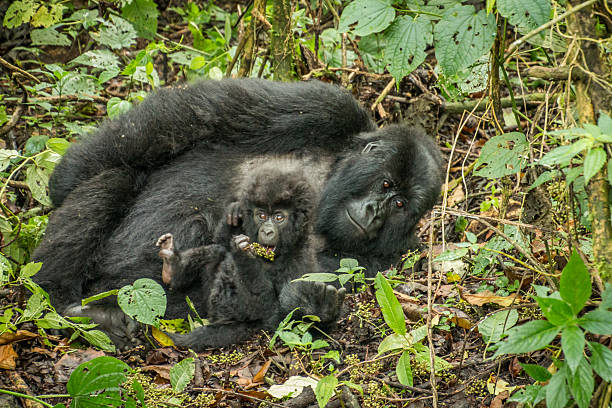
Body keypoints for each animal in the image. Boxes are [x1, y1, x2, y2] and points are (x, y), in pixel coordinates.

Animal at [155, 158, 344, 350]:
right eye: (261, 215)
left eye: (278, 218)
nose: (267, 231)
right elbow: (222, 241)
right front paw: (234, 212)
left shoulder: (300, 262)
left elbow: (275, 313)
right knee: (218, 251)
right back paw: (172, 266)